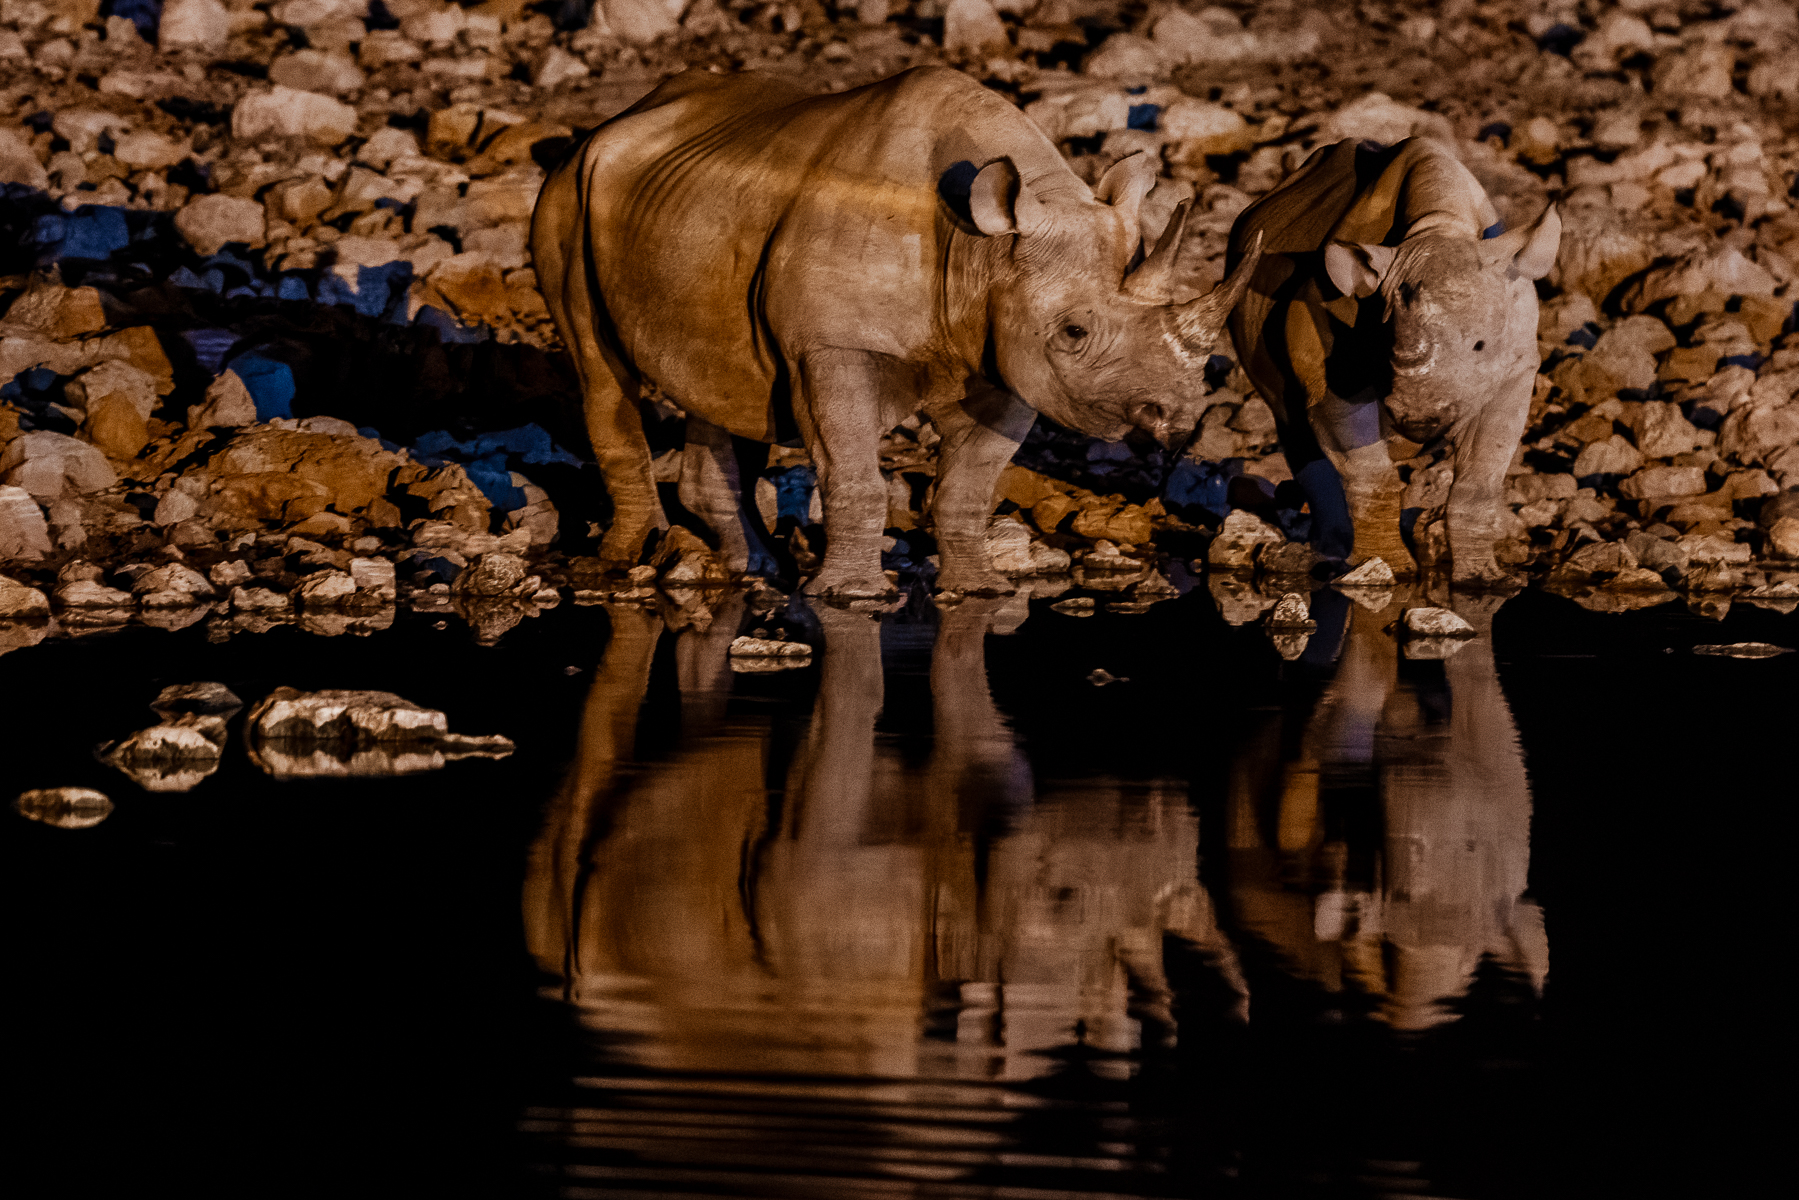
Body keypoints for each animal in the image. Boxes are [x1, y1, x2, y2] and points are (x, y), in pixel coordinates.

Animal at [531, 66, 1262, 598]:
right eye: (1076, 330)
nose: (1177, 421)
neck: (985, 251)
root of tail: (609, 124)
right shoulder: (835, 347)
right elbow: (856, 474)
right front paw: (853, 596)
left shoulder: (1005, 362)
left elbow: (969, 486)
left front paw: (981, 590)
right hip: (566, 192)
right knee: (601, 369)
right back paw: (630, 560)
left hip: (691, 210)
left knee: (719, 384)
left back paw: (752, 570)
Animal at [1225, 138, 1560, 586]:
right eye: (1383, 350)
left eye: (1480, 346)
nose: (1416, 421)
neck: (1440, 225)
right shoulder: (1329, 370)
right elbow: (1371, 477)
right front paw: (1387, 571)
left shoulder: (1513, 371)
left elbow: (1479, 481)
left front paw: (1482, 579)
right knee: (1290, 422)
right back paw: (1329, 554)